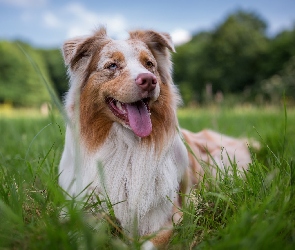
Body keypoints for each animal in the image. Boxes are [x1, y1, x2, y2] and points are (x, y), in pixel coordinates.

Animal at [59, 27, 253, 248]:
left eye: (149, 64)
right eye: (112, 65)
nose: (148, 80)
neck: (127, 147)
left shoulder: (167, 219)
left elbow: (147, 244)